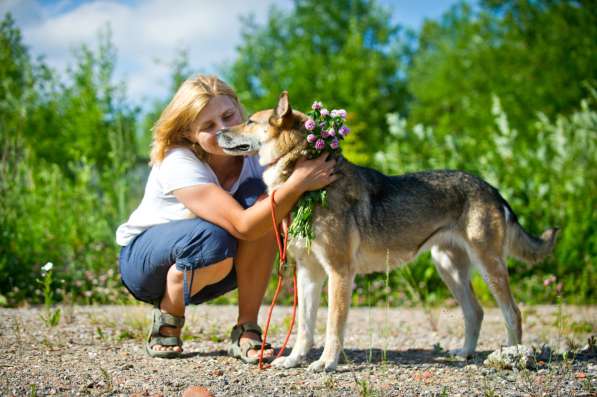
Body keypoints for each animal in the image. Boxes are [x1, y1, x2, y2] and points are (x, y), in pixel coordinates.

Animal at [218, 93, 560, 372]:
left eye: (249, 121)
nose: (220, 132)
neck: (308, 186)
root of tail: (492, 188)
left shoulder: (339, 272)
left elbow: (332, 327)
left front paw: (326, 363)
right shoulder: (308, 273)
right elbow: (304, 328)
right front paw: (293, 360)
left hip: (489, 267)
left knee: (512, 313)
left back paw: (514, 356)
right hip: (448, 268)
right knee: (475, 312)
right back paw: (464, 353)